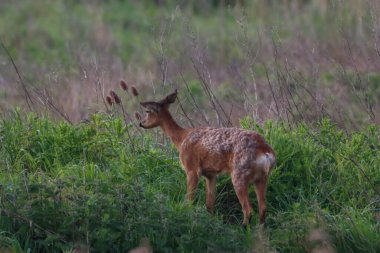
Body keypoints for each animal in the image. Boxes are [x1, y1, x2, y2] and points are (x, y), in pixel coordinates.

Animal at [138, 90, 274, 224]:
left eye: (148, 111)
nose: (141, 123)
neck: (181, 139)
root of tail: (266, 152)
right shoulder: (210, 174)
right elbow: (209, 204)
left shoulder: (192, 168)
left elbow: (189, 200)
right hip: (262, 178)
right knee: (263, 208)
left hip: (239, 173)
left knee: (248, 209)